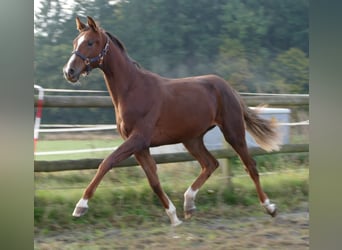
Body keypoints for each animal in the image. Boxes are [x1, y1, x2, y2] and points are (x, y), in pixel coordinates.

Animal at [62, 16, 280, 227]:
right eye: (74, 42)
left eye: (90, 42)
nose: (69, 71)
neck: (133, 89)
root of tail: (228, 87)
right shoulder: (140, 146)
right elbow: (153, 180)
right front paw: (174, 218)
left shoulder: (138, 139)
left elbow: (107, 162)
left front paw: (80, 207)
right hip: (192, 139)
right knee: (210, 164)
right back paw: (189, 204)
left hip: (233, 131)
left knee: (250, 166)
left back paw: (269, 207)